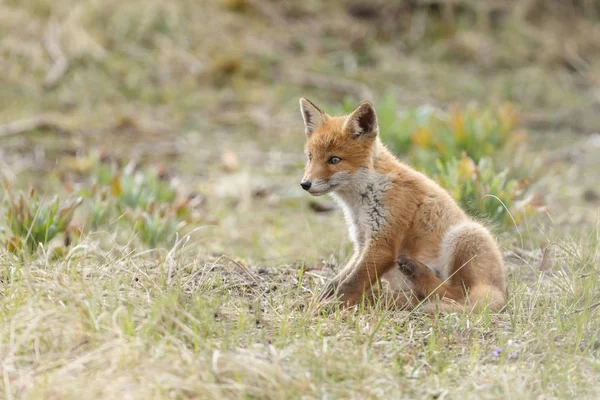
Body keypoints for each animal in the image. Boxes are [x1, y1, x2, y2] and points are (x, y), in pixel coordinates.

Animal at [298, 97, 504, 312]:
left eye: (334, 159)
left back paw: (416, 273)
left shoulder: (383, 244)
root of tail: (499, 290)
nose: (305, 184)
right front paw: (319, 300)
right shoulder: (362, 242)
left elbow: (350, 284)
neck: (362, 200)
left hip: (465, 234)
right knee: (419, 297)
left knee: (455, 295)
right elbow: (337, 281)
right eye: (310, 157)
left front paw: (327, 307)